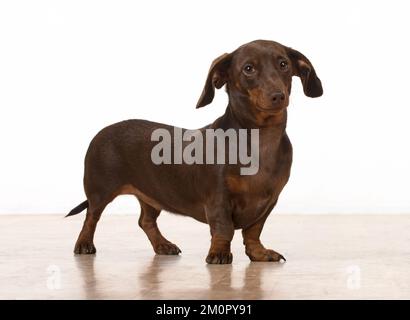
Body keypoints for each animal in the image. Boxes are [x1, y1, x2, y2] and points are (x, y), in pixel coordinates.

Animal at [68, 40, 324, 264]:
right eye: (248, 69)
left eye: (283, 64)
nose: (278, 96)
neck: (260, 138)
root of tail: (103, 131)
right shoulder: (218, 199)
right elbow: (224, 229)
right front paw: (219, 253)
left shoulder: (269, 201)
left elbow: (253, 231)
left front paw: (259, 253)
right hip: (100, 189)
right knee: (91, 216)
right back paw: (84, 244)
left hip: (150, 194)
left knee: (145, 221)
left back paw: (163, 245)